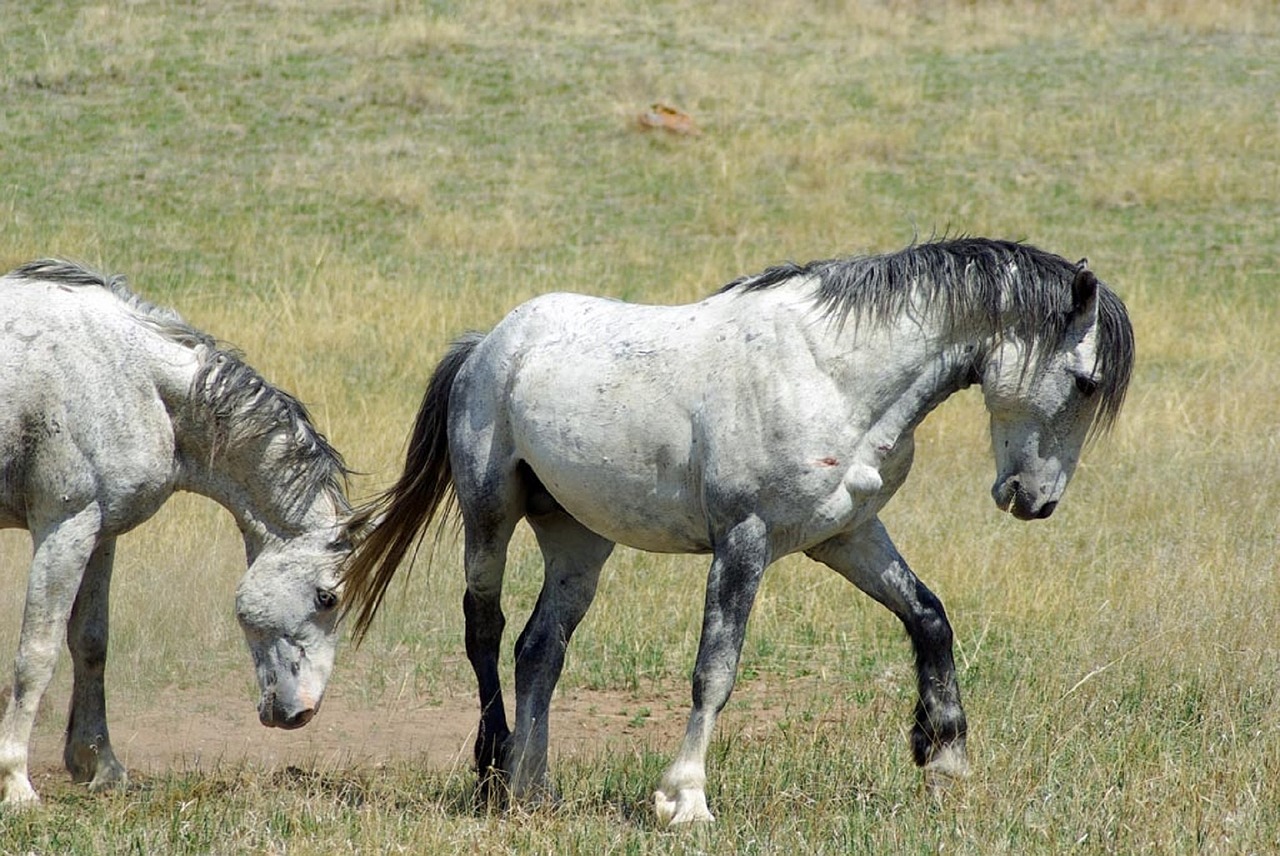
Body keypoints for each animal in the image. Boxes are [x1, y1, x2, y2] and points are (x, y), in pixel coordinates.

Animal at [0, 258, 353, 803]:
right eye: (327, 598)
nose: (302, 713)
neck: (134, 378)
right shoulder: (64, 528)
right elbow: (35, 655)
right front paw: (16, 783)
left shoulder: (100, 534)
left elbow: (90, 643)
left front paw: (100, 765)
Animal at [345, 236, 1136, 824]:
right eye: (1086, 382)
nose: (1036, 501)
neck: (832, 374)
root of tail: (488, 346)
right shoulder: (744, 542)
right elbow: (715, 670)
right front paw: (684, 800)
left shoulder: (846, 535)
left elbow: (928, 617)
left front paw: (943, 759)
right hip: (490, 515)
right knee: (484, 632)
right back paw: (491, 774)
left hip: (578, 538)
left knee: (539, 648)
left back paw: (532, 789)